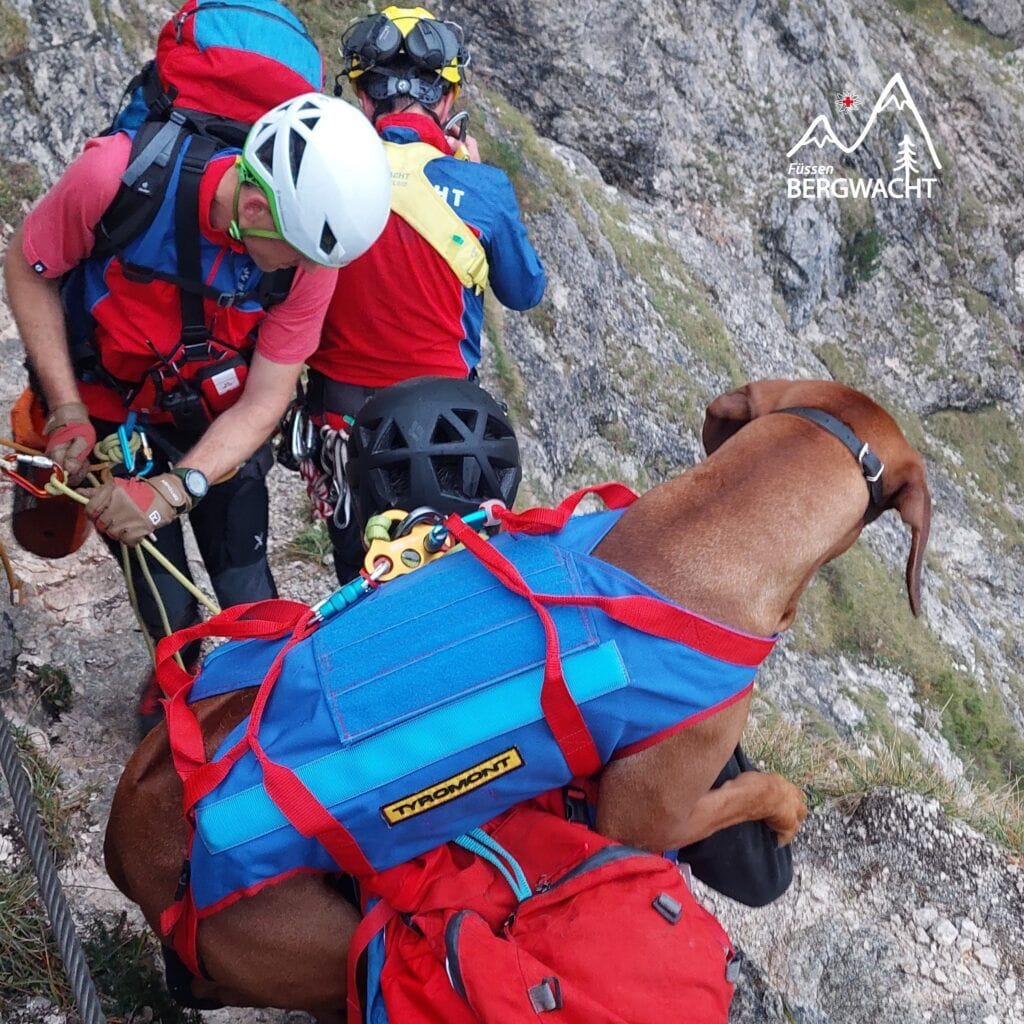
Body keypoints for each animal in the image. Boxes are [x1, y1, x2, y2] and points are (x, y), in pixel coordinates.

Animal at [101, 380, 929, 1019]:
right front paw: (787, 810)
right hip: (314, 942)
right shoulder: (647, 816)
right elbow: (759, 791)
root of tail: (127, 843)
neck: (704, 532)